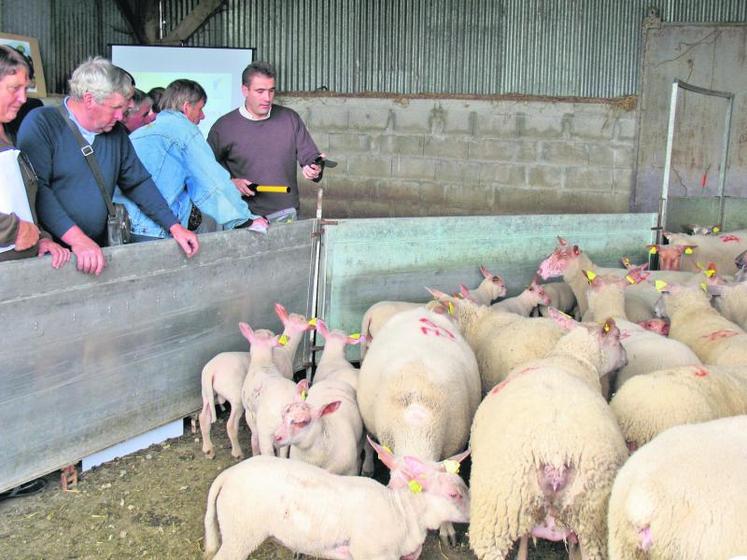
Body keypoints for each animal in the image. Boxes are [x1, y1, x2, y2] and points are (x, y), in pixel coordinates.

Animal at [203, 446, 474, 560]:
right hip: (240, 533)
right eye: (454, 494)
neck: (402, 512)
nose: (474, 516)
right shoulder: (371, 555)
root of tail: (228, 474)